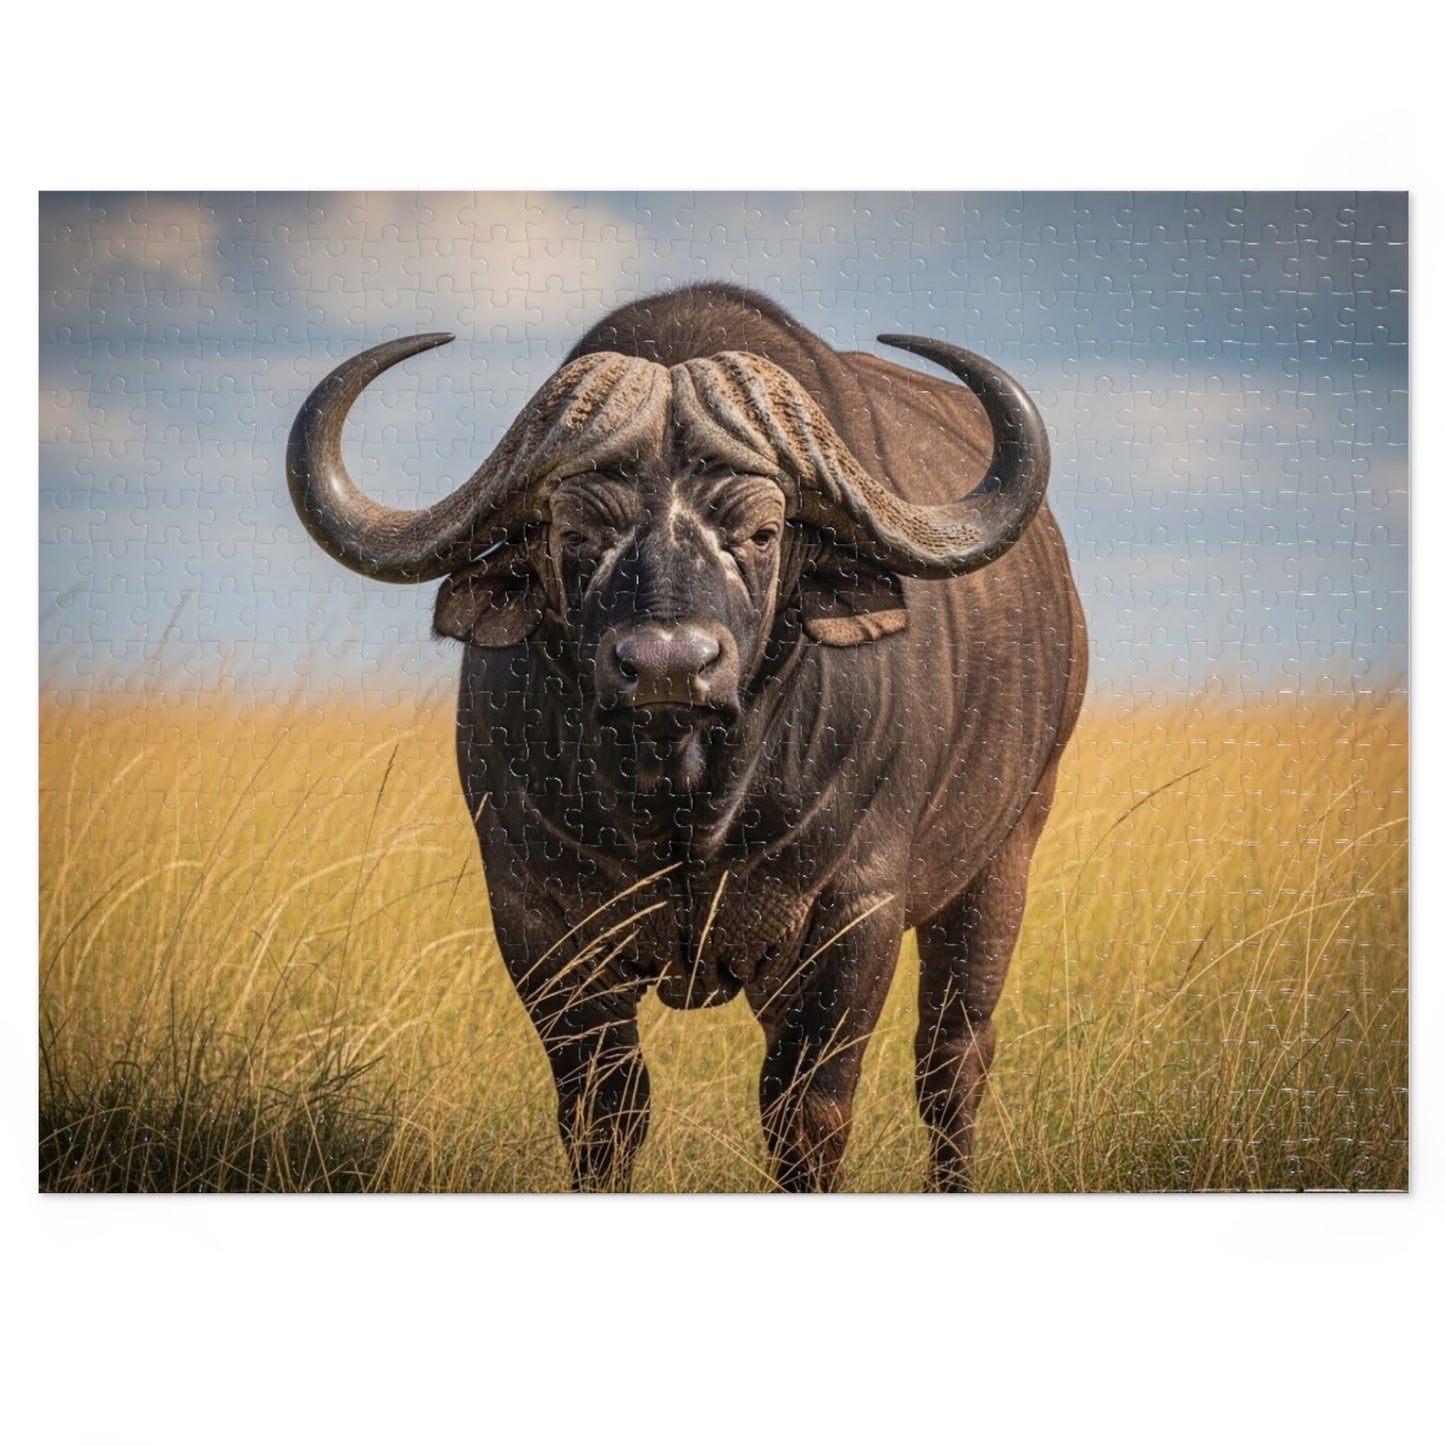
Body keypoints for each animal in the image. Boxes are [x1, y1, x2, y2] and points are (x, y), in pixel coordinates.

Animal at [287, 283, 1087, 1191]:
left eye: (762, 532)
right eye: (574, 535)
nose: (668, 667)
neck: (684, 801)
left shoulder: (855, 914)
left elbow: (807, 1115)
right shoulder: (534, 918)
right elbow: (604, 1112)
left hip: (1007, 853)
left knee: (952, 1060)